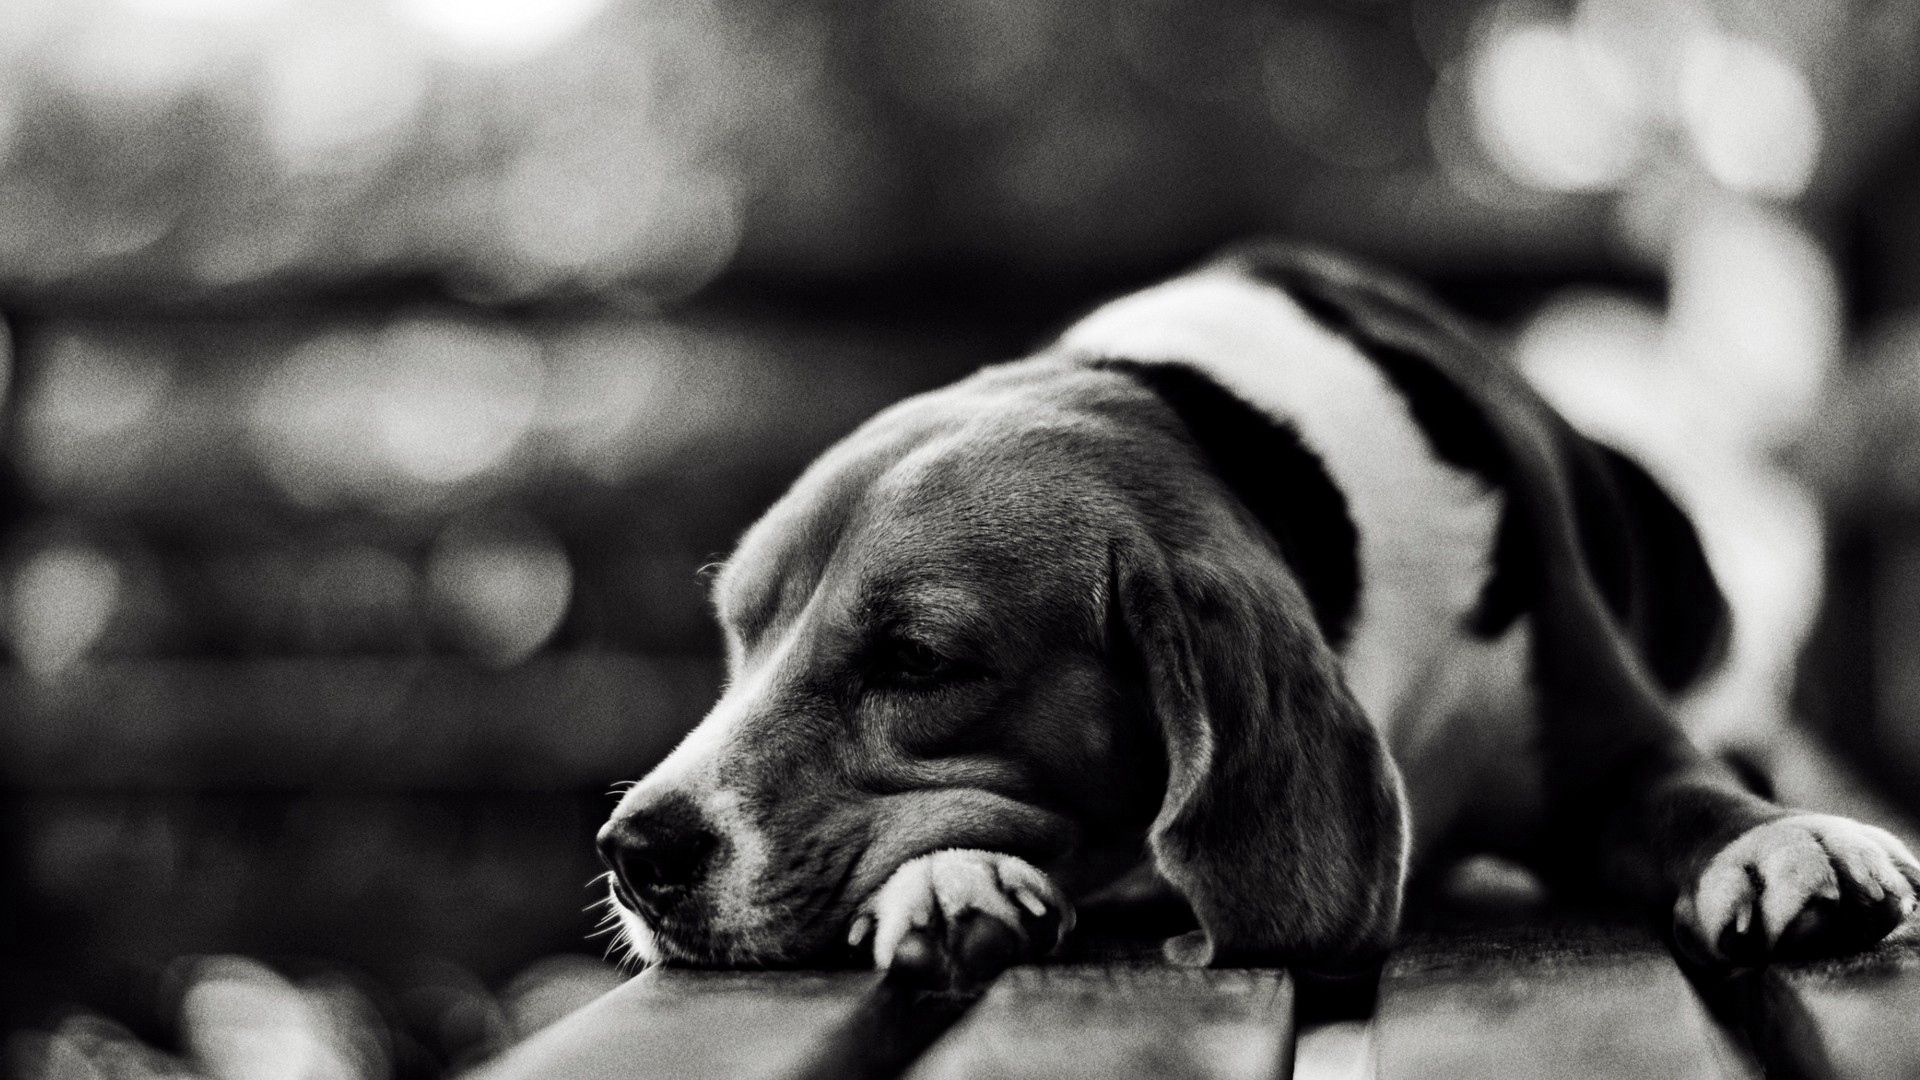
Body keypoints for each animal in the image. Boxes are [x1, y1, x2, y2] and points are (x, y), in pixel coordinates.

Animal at [595, 244, 1920, 983]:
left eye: (917, 661)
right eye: (737, 637)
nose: (631, 853)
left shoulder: (1610, 751)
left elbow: (1693, 795)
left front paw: (1784, 844)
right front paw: (947, 878)